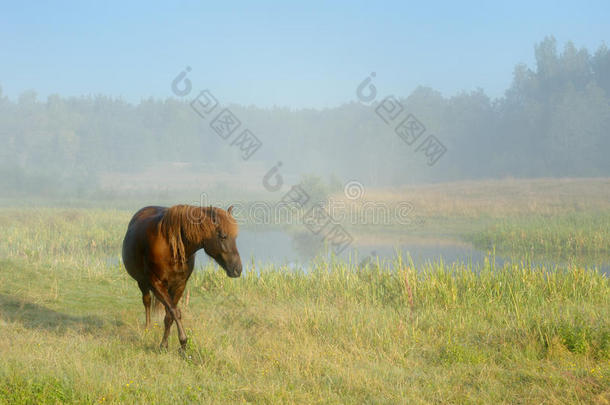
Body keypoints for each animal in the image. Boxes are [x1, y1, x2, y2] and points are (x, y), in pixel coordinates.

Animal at [120, 204, 240, 348]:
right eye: (223, 236)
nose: (238, 269)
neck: (171, 248)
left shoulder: (179, 285)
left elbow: (169, 315)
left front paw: (164, 344)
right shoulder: (156, 284)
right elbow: (174, 311)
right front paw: (182, 342)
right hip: (142, 282)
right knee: (147, 301)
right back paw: (147, 328)